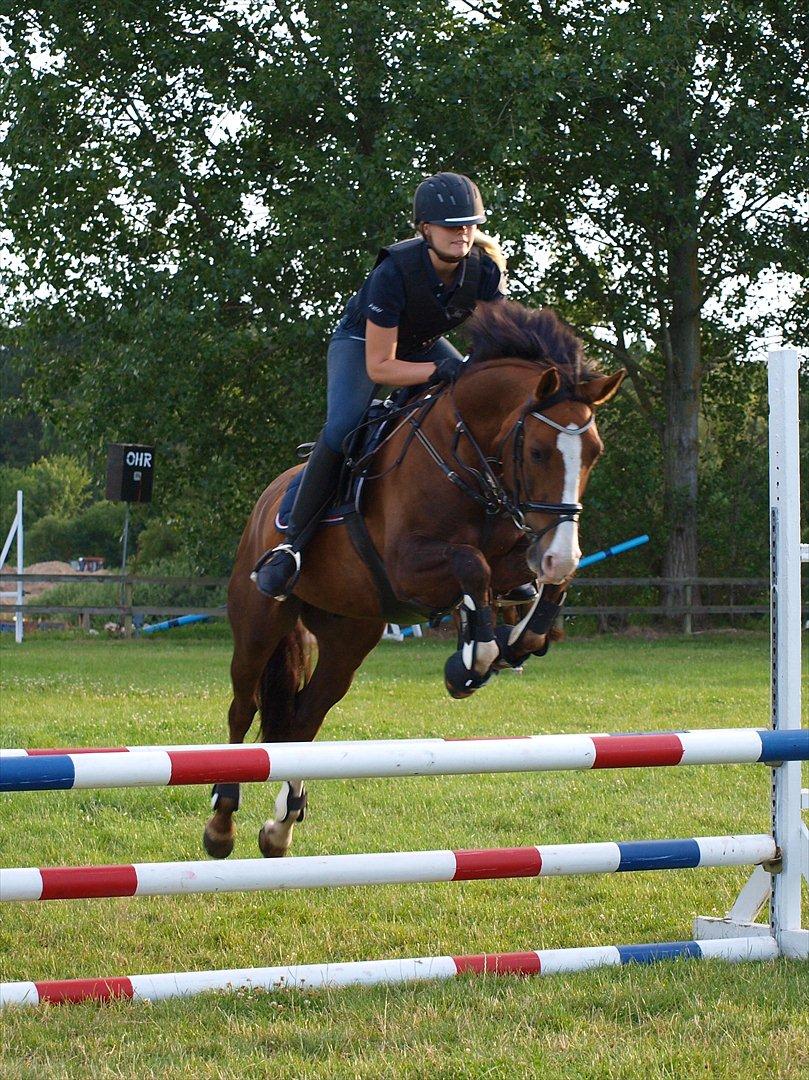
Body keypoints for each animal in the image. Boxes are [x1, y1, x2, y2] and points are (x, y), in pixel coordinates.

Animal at [203, 301, 625, 860]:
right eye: (537, 452)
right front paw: (472, 662)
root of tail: (267, 500)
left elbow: (526, 585)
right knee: (244, 705)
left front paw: (506, 645)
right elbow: (472, 566)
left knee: (304, 719)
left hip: (348, 635)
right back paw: (221, 821)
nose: (559, 553)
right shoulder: (409, 567)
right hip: (259, 624)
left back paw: (282, 826)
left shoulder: (519, 548)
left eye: (594, 452)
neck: (466, 457)